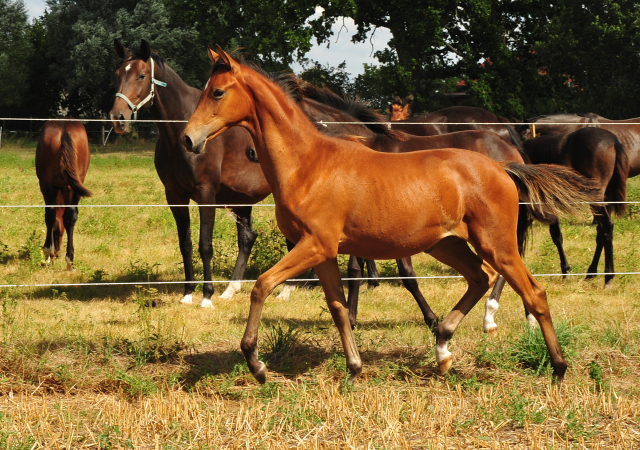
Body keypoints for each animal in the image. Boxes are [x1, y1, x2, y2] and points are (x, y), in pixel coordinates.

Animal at [35, 119, 92, 268]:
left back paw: (49, 252)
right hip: (74, 186)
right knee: (71, 216)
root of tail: (64, 129)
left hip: (47, 185)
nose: (57, 253)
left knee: (51, 213)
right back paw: (70, 259)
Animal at [110, 38, 270, 308]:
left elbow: (205, 245)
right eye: (118, 73)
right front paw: (187, 293)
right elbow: (185, 244)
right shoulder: (175, 197)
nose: (118, 117)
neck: (180, 132)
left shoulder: (206, 195)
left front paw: (207, 296)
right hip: (242, 200)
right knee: (248, 237)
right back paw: (231, 289)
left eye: (141, 75)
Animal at [181, 46, 600, 386]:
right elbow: (338, 309)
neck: (308, 164)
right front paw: (353, 370)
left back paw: (558, 368)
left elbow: (262, 285)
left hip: (496, 244)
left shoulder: (314, 245)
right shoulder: (326, 252)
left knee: (533, 292)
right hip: (446, 245)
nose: (188, 139)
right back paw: (442, 349)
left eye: (217, 92)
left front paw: (257, 365)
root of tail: (502, 166)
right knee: (480, 279)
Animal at [524, 126, 628, 288]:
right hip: (606, 199)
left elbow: (555, 235)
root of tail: (614, 142)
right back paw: (591, 273)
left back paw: (608, 277)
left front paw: (565, 271)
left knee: (606, 227)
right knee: (601, 232)